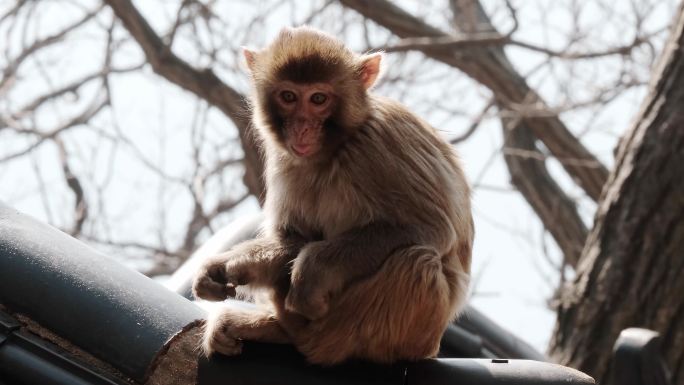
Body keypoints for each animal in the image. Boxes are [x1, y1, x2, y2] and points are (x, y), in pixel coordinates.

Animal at [191, 26, 470, 364]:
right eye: (288, 96)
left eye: (318, 99)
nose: (301, 128)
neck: (335, 149)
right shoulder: (285, 159)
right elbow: (293, 238)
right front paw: (226, 266)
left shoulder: (382, 143)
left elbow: (431, 228)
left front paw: (312, 269)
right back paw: (276, 329)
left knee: (418, 261)